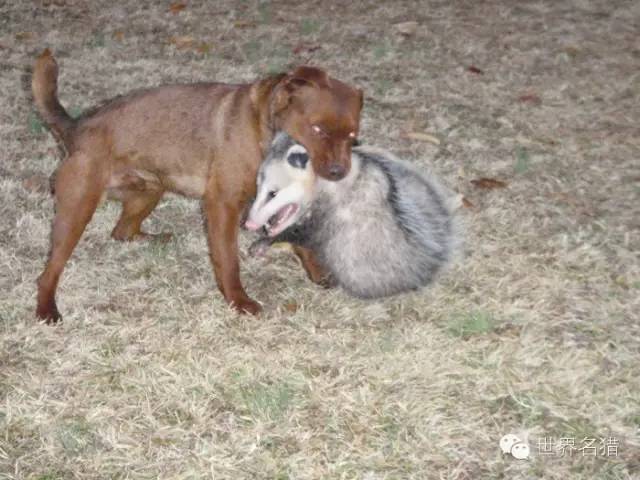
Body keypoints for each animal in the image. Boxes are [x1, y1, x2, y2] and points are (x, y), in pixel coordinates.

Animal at [31, 48, 360, 322]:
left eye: (353, 137)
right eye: (317, 129)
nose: (338, 171)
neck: (266, 130)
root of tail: (76, 127)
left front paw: (317, 272)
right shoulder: (222, 205)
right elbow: (228, 261)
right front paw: (238, 301)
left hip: (149, 191)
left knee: (121, 232)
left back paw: (154, 239)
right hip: (76, 211)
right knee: (49, 272)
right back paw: (47, 309)